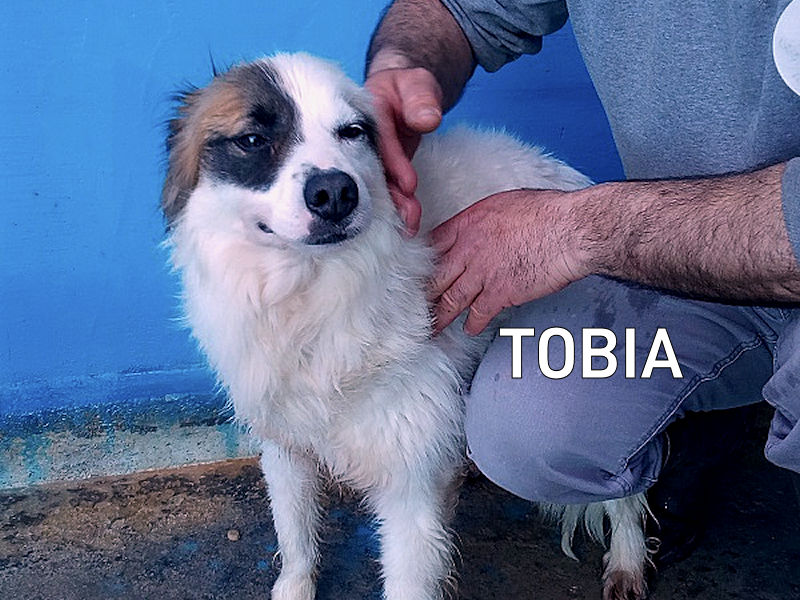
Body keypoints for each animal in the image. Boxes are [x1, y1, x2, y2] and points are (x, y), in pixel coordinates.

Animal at [162, 52, 652, 600]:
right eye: (251, 139)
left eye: (352, 132)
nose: (336, 192)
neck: (311, 303)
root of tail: (573, 180)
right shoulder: (285, 445)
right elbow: (295, 536)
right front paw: (295, 583)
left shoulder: (408, 484)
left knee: (625, 493)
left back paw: (627, 560)